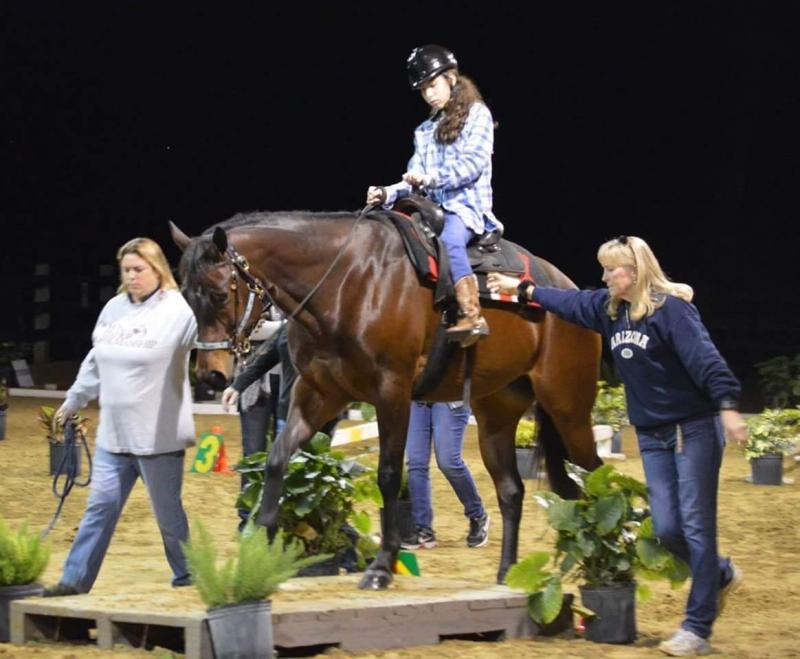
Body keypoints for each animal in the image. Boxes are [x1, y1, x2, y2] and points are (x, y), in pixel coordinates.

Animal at [171, 210, 602, 590]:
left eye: (219, 294)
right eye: (187, 296)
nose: (211, 375)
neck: (347, 282)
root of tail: (565, 289)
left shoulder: (392, 393)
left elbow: (389, 475)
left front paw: (381, 566)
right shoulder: (320, 393)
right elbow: (277, 460)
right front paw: (259, 547)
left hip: (568, 409)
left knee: (595, 477)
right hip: (497, 414)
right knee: (512, 491)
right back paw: (507, 572)